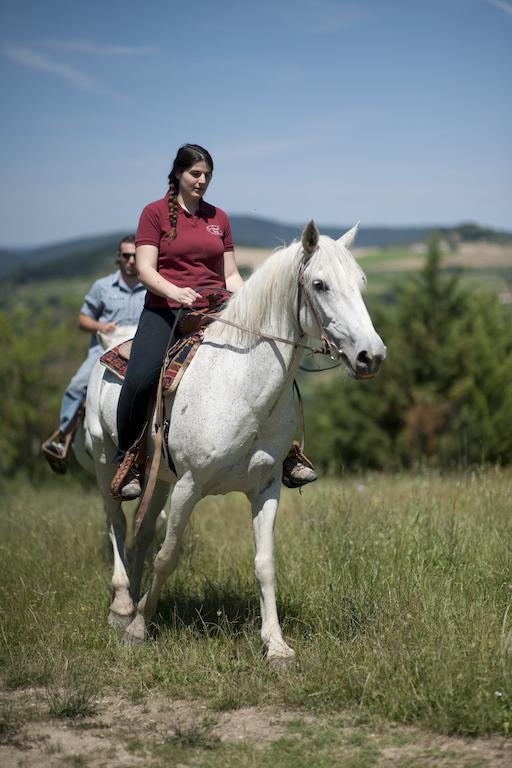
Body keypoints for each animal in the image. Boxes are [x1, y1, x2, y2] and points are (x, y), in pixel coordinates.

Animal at [86, 222, 386, 660]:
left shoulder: (266, 486)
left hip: (160, 479)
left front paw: (276, 645)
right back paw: (123, 606)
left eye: (360, 283)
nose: (371, 356)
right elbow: (168, 556)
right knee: (116, 523)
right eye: (320, 284)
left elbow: (265, 563)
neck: (240, 385)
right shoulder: (190, 485)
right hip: (105, 461)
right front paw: (140, 629)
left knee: (142, 533)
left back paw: (134, 602)